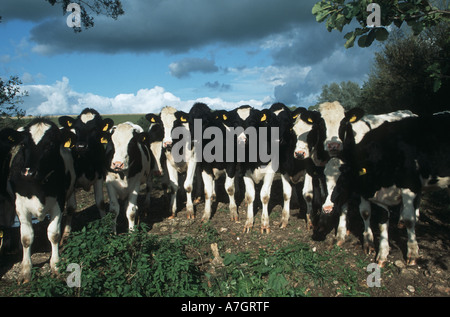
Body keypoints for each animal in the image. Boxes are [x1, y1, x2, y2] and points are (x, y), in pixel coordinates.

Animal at [6, 118, 75, 282]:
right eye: (23, 144)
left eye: (50, 144)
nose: (28, 172)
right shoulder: (20, 205)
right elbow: (26, 237)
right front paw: (25, 270)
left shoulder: (58, 202)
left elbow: (53, 234)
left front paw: (55, 265)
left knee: (71, 210)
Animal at [58, 108, 114, 239]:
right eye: (76, 128)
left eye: (94, 129)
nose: (81, 146)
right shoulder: (72, 181)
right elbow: (70, 208)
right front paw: (66, 233)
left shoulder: (99, 176)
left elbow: (100, 202)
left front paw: (105, 224)